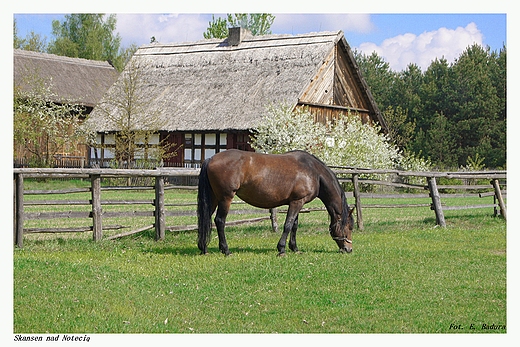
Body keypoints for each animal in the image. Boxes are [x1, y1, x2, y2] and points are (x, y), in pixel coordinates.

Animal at [196, 150, 354, 256]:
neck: (313, 171)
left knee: (206, 219)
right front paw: (282, 249)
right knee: (219, 221)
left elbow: (294, 225)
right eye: (349, 227)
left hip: (214, 198)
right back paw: (226, 250)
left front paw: (294, 248)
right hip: (225, 198)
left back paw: (204, 248)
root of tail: (211, 159)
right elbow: (288, 225)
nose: (349, 249)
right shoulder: (297, 202)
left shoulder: (296, 202)